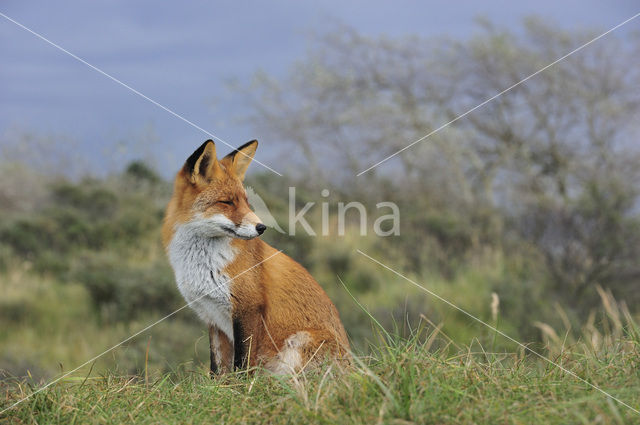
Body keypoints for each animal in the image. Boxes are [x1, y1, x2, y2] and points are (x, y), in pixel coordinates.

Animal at [160, 140, 350, 374]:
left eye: (245, 201)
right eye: (227, 202)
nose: (261, 227)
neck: (203, 264)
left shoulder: (248, 308)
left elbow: (242, 363)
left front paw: (241, 385)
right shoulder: (212, 316)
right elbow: (217, 368)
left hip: (298, 342)